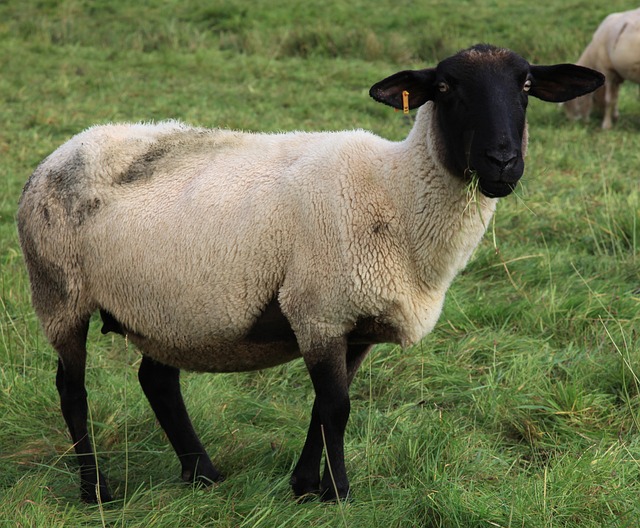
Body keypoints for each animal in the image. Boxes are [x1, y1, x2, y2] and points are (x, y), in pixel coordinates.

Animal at [15, 44, 604, 504]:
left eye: (526, 85)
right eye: (443, 87)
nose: (502, 162)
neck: (395, 192)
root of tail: (61, 150)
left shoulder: (354, 324)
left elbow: (323, 408)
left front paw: (304, 486)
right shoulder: (318, 310)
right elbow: (337, 408)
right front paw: (339, 493)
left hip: (166, 310)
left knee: (156, 380)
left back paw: (202, 473)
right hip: (60, 293)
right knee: (71, 388)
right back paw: (96, 490)